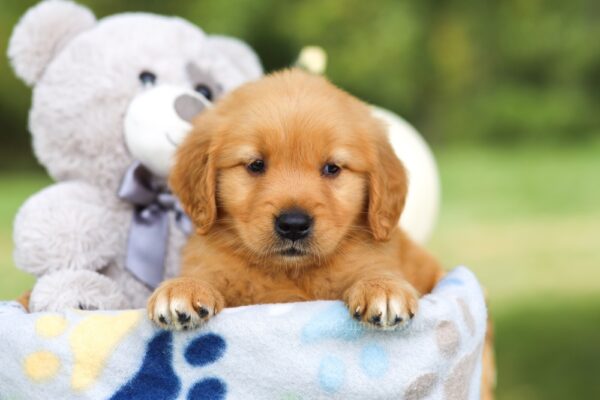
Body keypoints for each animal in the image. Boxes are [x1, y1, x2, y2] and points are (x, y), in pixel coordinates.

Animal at [147, 69, 442, 330]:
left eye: (332, 168)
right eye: (256, 165)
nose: (293, 225)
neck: (291, 272)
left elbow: (375, 269)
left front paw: (382, 287)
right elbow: (204, 275)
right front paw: (183, 287)